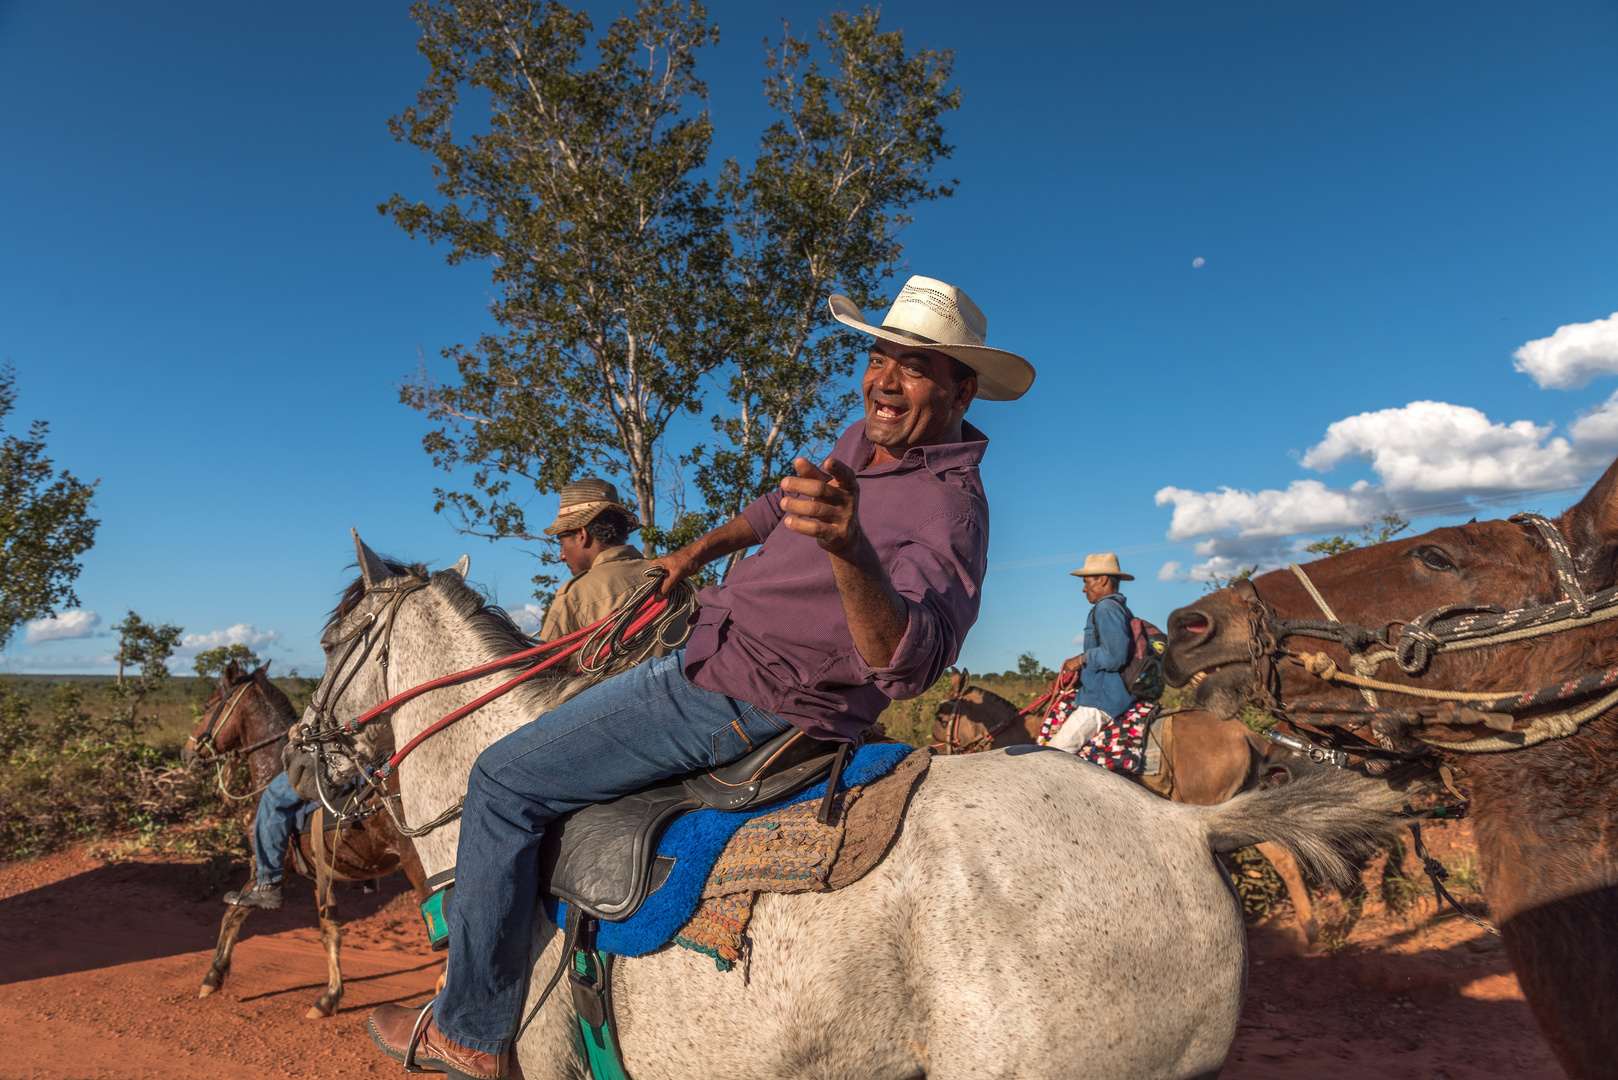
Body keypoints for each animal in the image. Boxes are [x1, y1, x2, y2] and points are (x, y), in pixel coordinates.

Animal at [182, 660, 436, 1023]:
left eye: (207, 706)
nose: (187, 753)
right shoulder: (322, 873)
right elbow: (325, 930)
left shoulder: (268, 867)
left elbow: (239, 911)